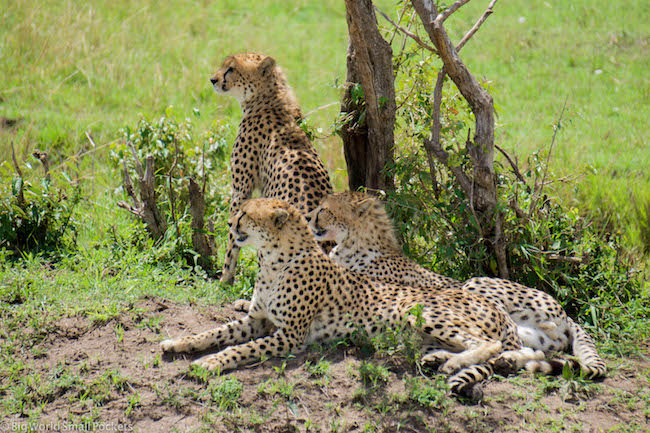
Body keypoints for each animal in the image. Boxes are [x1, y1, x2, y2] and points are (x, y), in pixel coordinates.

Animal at [159, 197, 544, 396]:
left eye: (245, 215)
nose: (229, 222)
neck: (273, 261)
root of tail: (497, 307)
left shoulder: (290, 336)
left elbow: (240, 349)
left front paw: (210, 363)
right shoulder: (256, 321)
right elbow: (214, 332)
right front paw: (180, 342)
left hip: (415, 308)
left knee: (488, 344)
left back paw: (451, 364)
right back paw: (438, 358)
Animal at [210, 52, 332, 286]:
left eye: (231, 69)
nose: (212, 80)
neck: (269, 97)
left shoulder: (241, 190)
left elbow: (232, 239)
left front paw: (225, 278)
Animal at [306, 192, 604, 378]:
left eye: (325, 210)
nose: (308, 217)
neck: (354, 243)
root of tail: (564, 312)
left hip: (473, 285)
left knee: (506, 346)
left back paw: (467, 361)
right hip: (528, 333)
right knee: (529, 349)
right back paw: (445, 357)